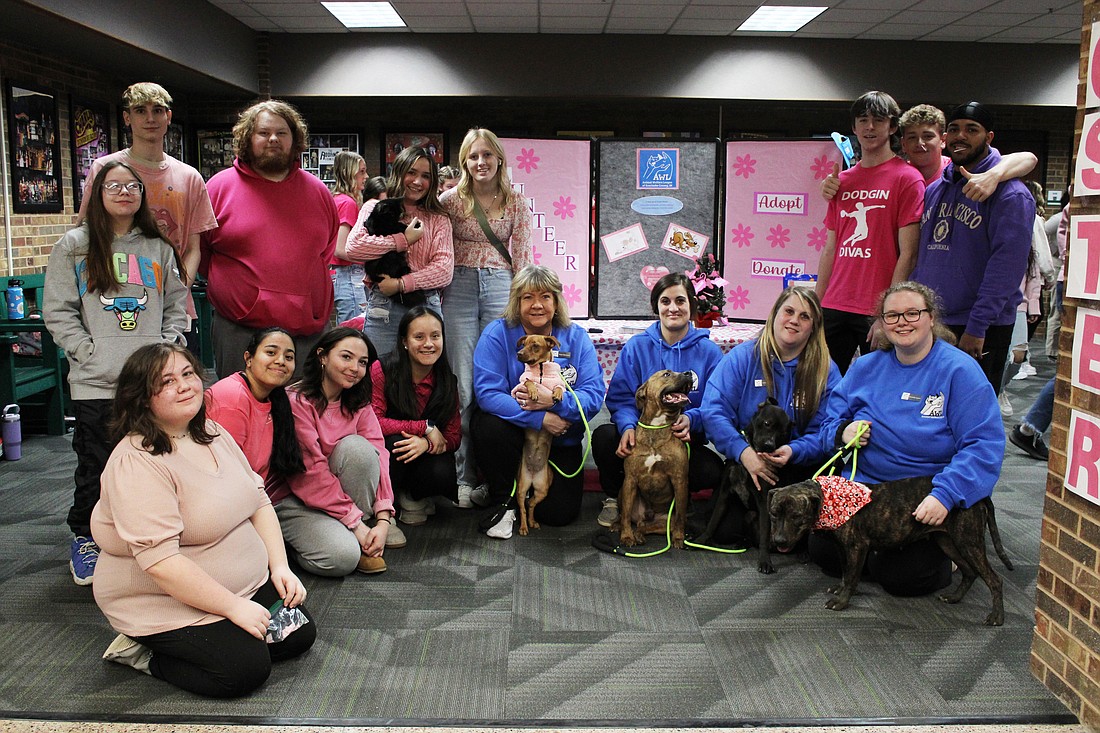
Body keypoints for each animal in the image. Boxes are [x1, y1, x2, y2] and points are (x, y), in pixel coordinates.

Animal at [512, 334, 567, 534]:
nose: (519, 354)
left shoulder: (558, 383)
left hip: (543, 489)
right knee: (522, 505)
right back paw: (523, 527)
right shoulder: (518, 388)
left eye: (535, 345)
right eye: (523, 344)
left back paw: (533, 521)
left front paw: (557, 394)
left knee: (531, 505)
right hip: (521, 487)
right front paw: (534, 391)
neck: (541, 369)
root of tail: (534, 474)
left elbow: (559, 387)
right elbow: (528, 381)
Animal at [616, 367, 690, 545]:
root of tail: (646, 516)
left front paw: (679, 537)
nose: (689, 373)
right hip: (623, 491)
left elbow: (680, 515)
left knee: (646, 526)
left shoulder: (680, 479)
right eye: (666, 374)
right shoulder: (630, 479)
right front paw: (626, 536)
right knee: (625, 516)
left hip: (665, 522)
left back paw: (640, 534)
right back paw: (618, 526)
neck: (657, 427)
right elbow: (626, 515)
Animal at [695, 394, 792, 572]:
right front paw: (700, 541)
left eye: (782, 434)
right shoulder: (724, 495)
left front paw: (765, 561)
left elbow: (764, 536)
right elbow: (713, 522)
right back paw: (740, 543)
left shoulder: (764, 502)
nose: (769, 446)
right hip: (748, 516)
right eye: (767, 423)